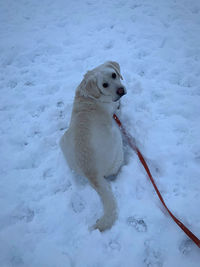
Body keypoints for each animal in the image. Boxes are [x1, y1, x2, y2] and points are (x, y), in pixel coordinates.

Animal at [59, 61, 126, 231]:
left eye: (114, 75)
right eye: (104, 85)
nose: (121, 91)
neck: (89, 94)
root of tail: (92, 174)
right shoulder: (111, 105)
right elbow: (116, 104)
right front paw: (119, 103)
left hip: (62, 140)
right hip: (116, 136)